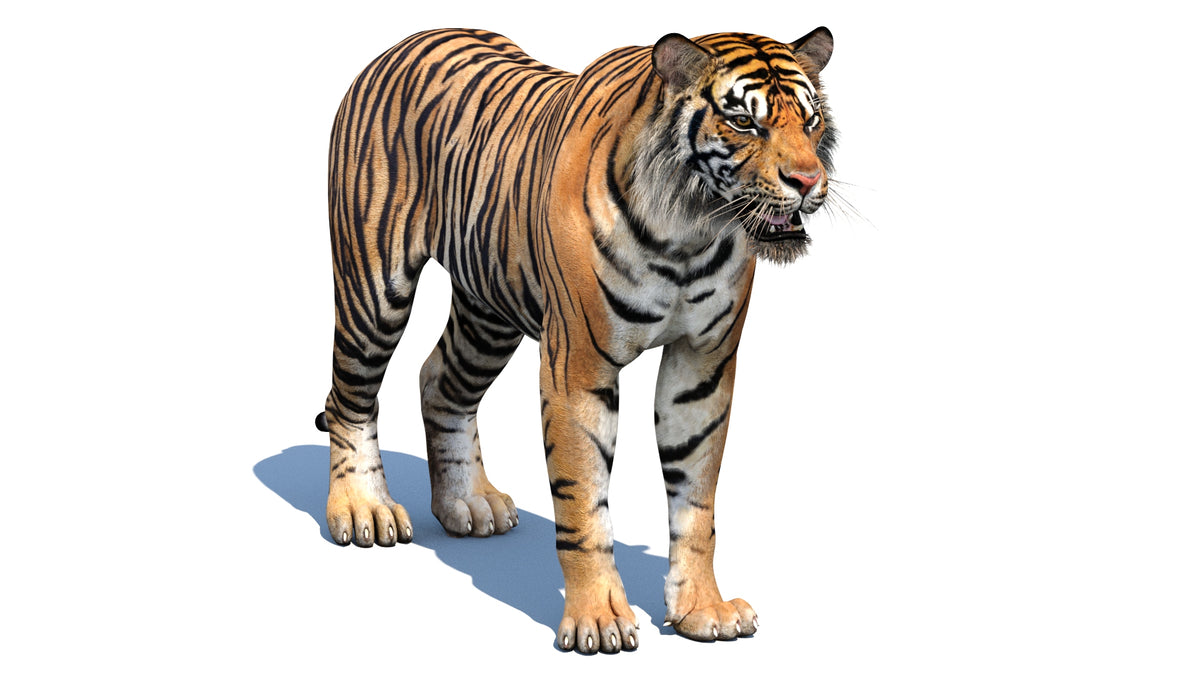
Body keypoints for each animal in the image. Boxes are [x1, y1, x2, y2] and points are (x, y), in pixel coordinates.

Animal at [315, 27, 837, 653]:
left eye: (811, 122)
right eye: (744, 123)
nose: (808, 182)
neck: (690, 226)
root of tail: (404, 41)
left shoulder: (701, 365)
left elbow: (696, 501)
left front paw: (702, 610)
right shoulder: (579, 367)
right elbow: (583, 502)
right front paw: (598, 619)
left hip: (490, 309)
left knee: (439, 381)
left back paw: (468, 501)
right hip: (374, 284)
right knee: (350, 395)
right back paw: (363, 510)